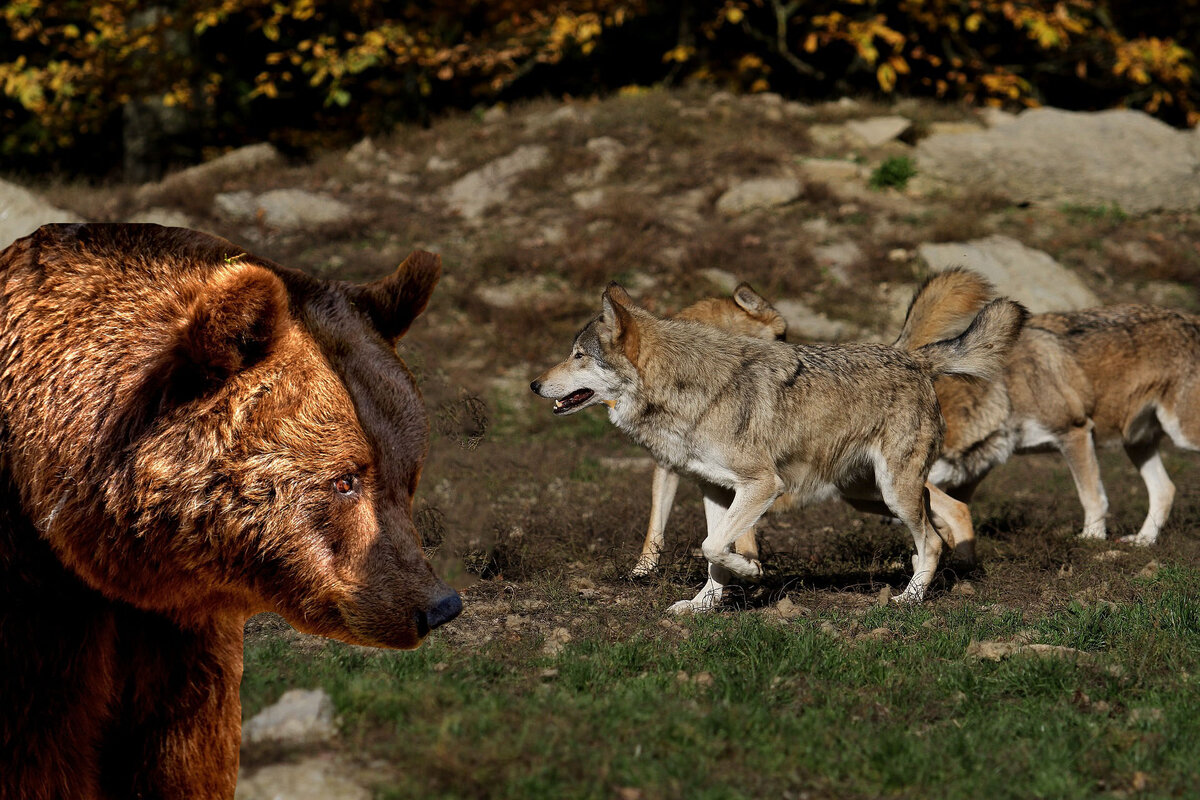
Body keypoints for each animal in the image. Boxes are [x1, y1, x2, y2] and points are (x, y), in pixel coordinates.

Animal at [0, 224, 460, 800]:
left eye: (409, 475)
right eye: (345, 480)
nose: (438, 606)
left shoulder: (179, 637)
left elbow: (185, 755)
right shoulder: (35, 611)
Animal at [897, 268, 1200, 544]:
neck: (1007, 391)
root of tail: (1193, 319)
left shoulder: (1075, 433)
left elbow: (1092, 497)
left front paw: (1091, 540)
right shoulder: (982, 465)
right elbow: (960, 505)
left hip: (1180, 434)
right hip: (1137, 443)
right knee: (1165, 490)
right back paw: (1143, 541)